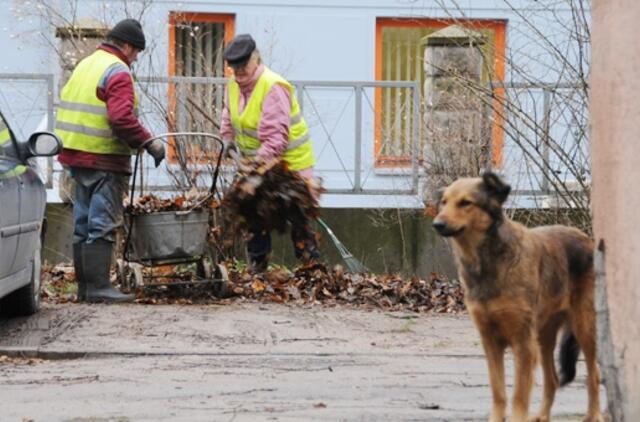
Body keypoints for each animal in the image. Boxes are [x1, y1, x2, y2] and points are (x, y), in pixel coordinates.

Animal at [432, 172, 604, 422]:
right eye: (444, 202)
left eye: (465, 203)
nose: (437, 224)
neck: (488, 260)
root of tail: (585, 238)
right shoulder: (490, 340)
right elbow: (498, 390)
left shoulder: (523, 342)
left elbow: (519, 394)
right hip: (544, 335)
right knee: (552, 379)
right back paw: (542, 416)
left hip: (584, 326)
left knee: (594, 374)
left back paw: (594, 414)